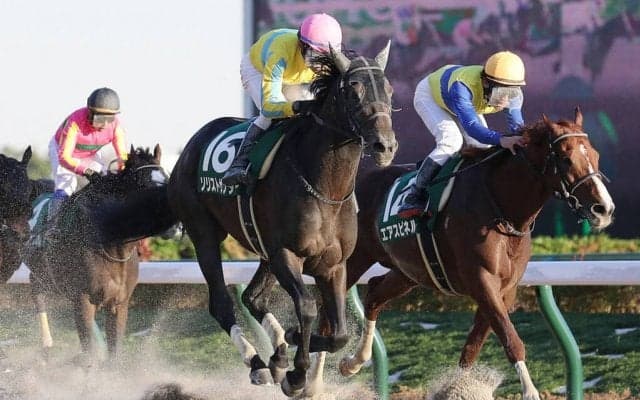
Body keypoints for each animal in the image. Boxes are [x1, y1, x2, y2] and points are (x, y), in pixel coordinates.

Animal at [24, 145, 168, 362]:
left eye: (166, 180)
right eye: (144, 185)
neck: (113, 246)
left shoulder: (120, 303)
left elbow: (114, 350)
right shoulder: (83, 299)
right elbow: (88, 350)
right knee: (38, 296)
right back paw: (47, 344)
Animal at [337, 109, 614, 400]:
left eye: (595, 155)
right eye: (566, 159)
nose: (603, 209)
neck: (501, 207)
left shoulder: (505, 289)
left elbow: (473, 347)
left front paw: (456, 388)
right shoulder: (482, 280)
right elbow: (510, 338)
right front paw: (530, 392)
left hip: (409, 272)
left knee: (374, 294)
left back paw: (351, 363)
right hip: (353, 260)